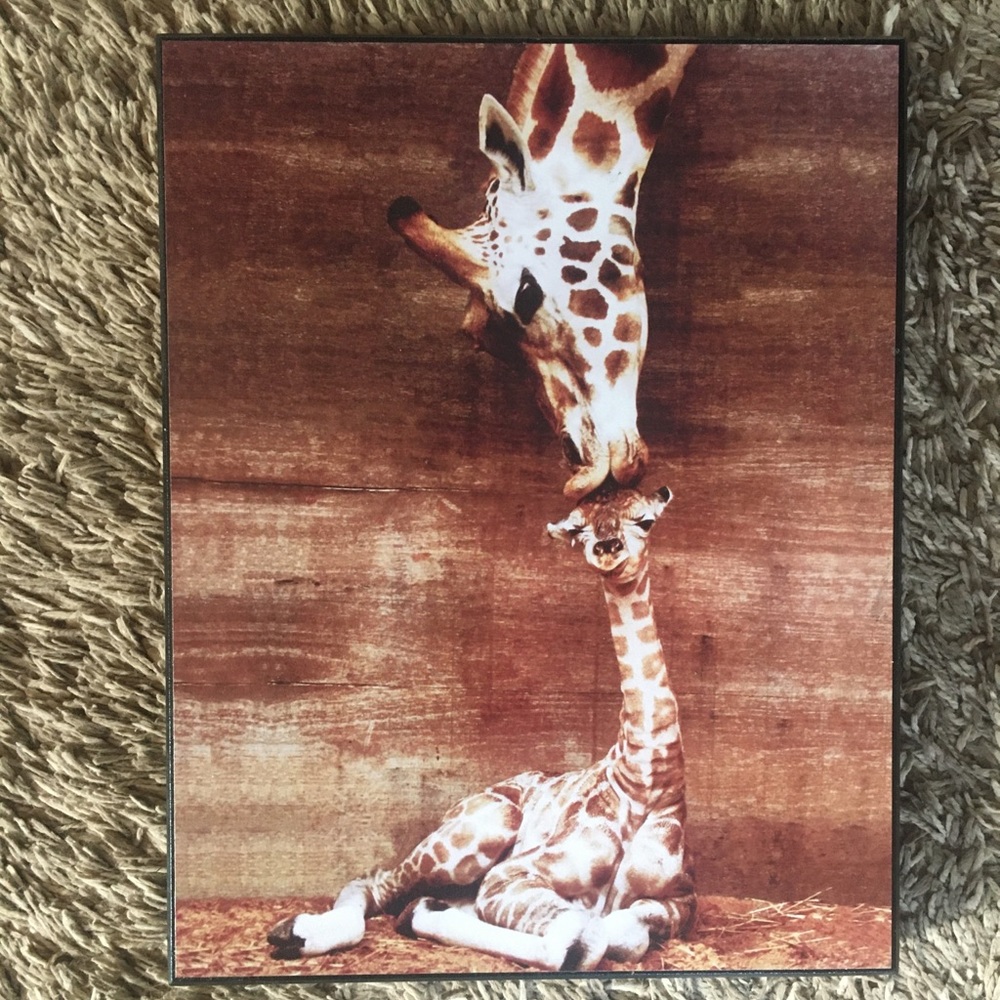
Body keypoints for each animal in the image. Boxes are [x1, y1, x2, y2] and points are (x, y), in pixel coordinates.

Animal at [267, 486, 694, 971]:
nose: (607, 549)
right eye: (578, 530)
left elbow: (625, 932)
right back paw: (296, 932)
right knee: (375, 881)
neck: (645, 779)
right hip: (484, 827)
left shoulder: (682, 901)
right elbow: (578, 939)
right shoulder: (510, 875)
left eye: (645, 520)